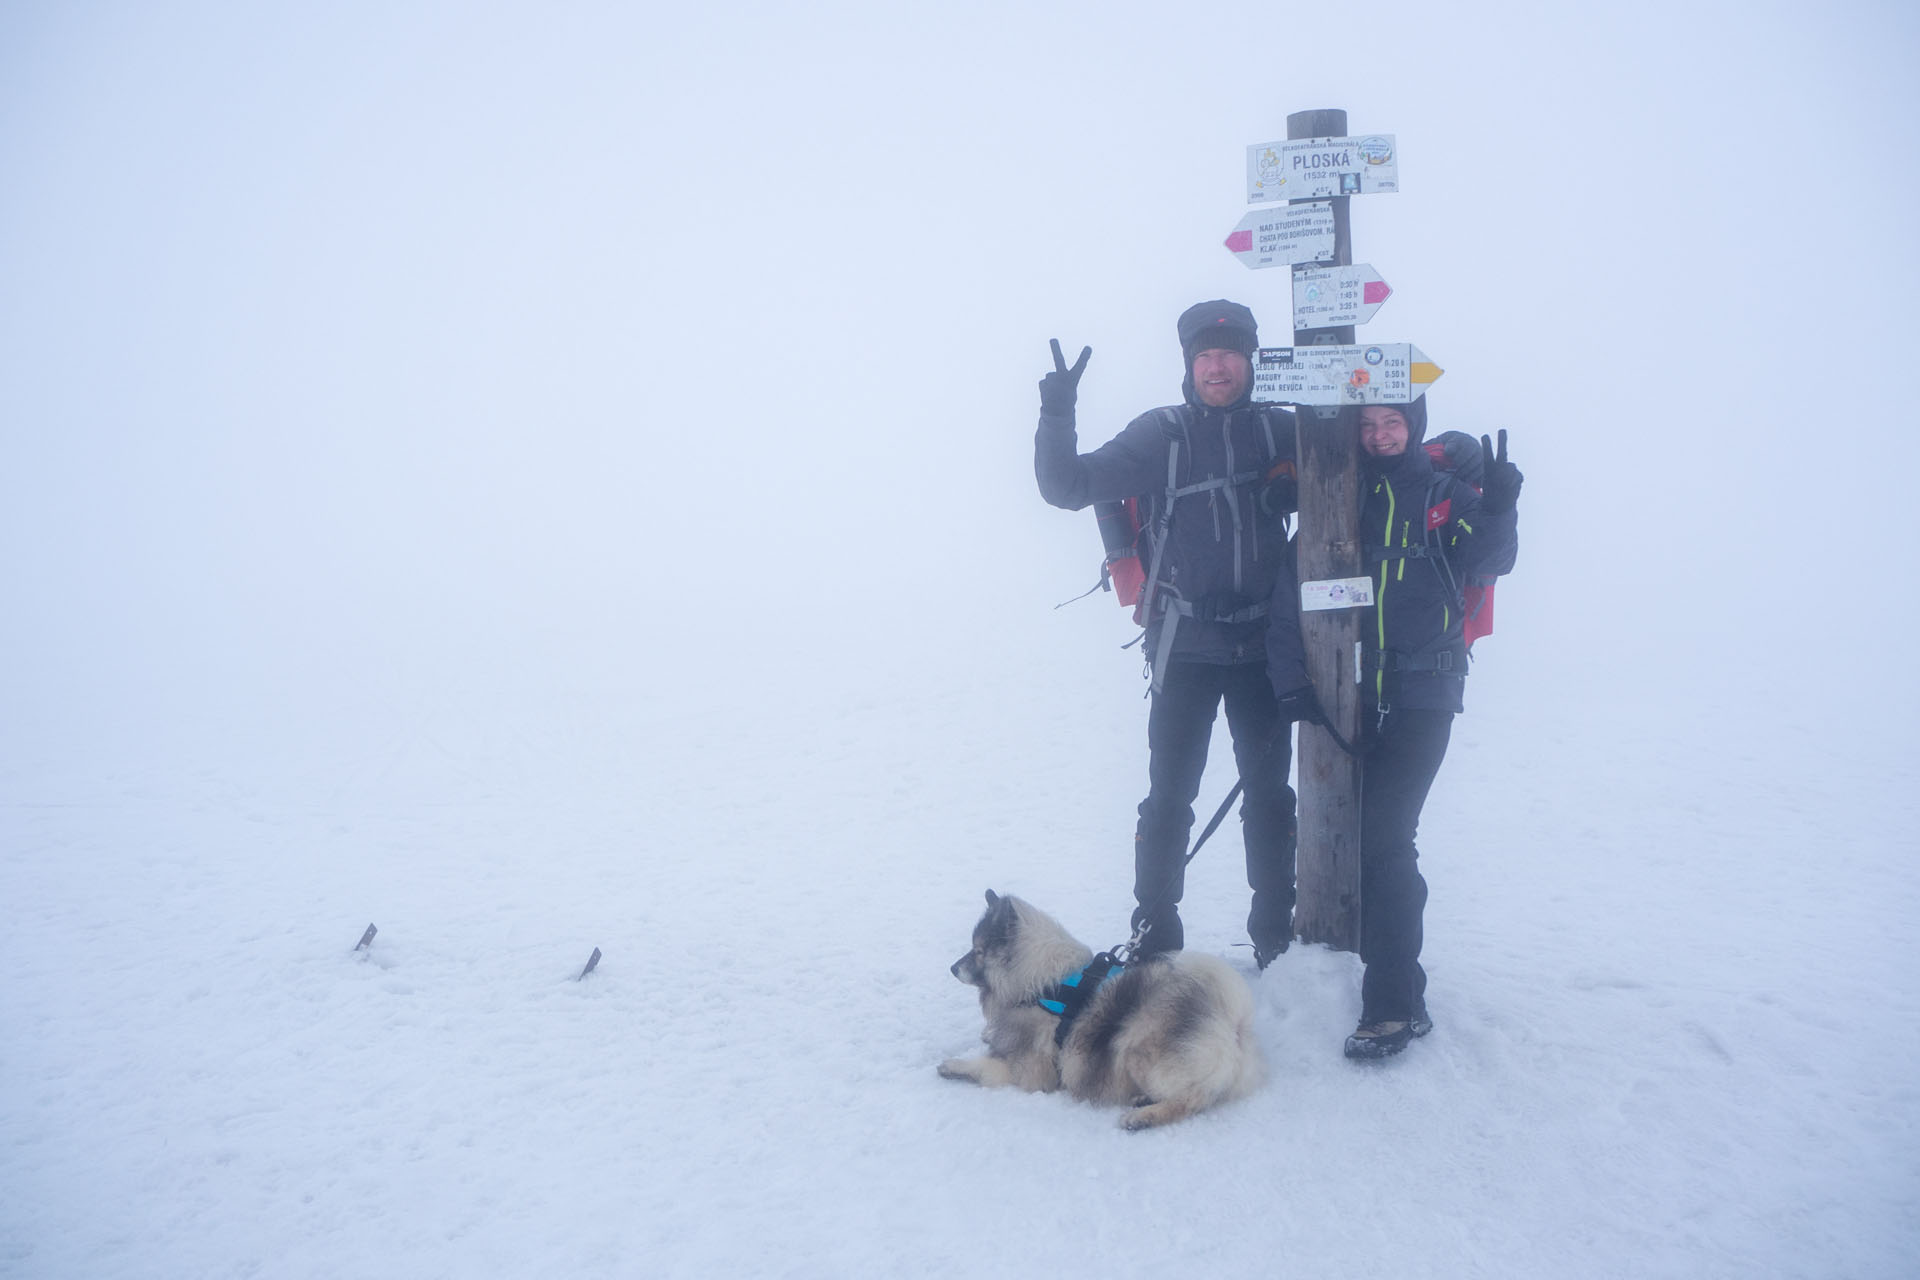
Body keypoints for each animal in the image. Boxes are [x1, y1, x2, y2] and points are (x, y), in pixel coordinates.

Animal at [940, 890, 1267, 1128]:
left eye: (978, 951)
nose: (953, 967)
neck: (1043, 985)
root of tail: (1231, 1023)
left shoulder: (1031, 1070)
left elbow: (987, 1067)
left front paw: (954, 1066)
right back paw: (1142, 1100)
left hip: (1136, 1043)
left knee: (1192, 1101)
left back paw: (1142, 1117)